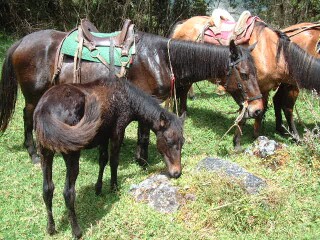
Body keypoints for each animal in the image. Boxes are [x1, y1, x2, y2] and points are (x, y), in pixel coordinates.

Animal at [0, 27, 262, 165]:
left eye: (257, 71)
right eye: (245, 74)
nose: (257, 109)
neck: (161, 58)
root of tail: (22, 41)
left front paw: (140, 158)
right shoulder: (149, 99)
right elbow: (144, 134)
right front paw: (143, 161)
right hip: (33, 96)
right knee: (27, 117)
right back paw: (33, 153)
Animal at [33, 78, 185, 239]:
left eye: (182, 142)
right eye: (169, 141)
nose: (177, 172)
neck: (126, 97)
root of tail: (44, 110)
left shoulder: (103, 136)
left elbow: (103, 160)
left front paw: (98, 188)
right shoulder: (117, 132)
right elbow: (114, 161)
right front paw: (114, 187)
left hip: (45, 153)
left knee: (47, 189)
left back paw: (51, 228)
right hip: (71, 154)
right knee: (68, 193)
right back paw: (76, 231)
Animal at [172, 15, 320, 149]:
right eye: (244, 74)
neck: (270, 52)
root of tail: (183, 24)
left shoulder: (264, 88)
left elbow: (260, 111)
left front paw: (258, 136)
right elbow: (247, 114)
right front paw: (237, 142)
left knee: (183, 92)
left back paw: (183, 113)